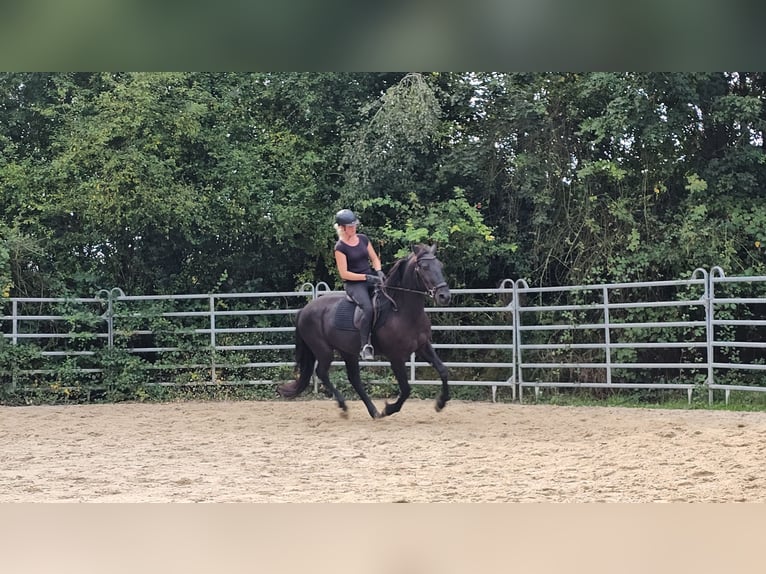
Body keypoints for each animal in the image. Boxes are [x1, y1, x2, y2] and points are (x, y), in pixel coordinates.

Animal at [280, 244, 452, 418]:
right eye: (424, 267)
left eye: (441, 266)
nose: (444, 296)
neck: (403, 312)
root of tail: (304, 310)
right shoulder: (396, 357)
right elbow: (406, 389)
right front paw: (389, 409)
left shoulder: (423, 346)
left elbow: (443, 370)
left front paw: (441, 402)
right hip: (323, 351)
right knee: (322, 373)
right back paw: (344, 406)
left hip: (347, 351)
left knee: (354, 379)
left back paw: (373, 411)